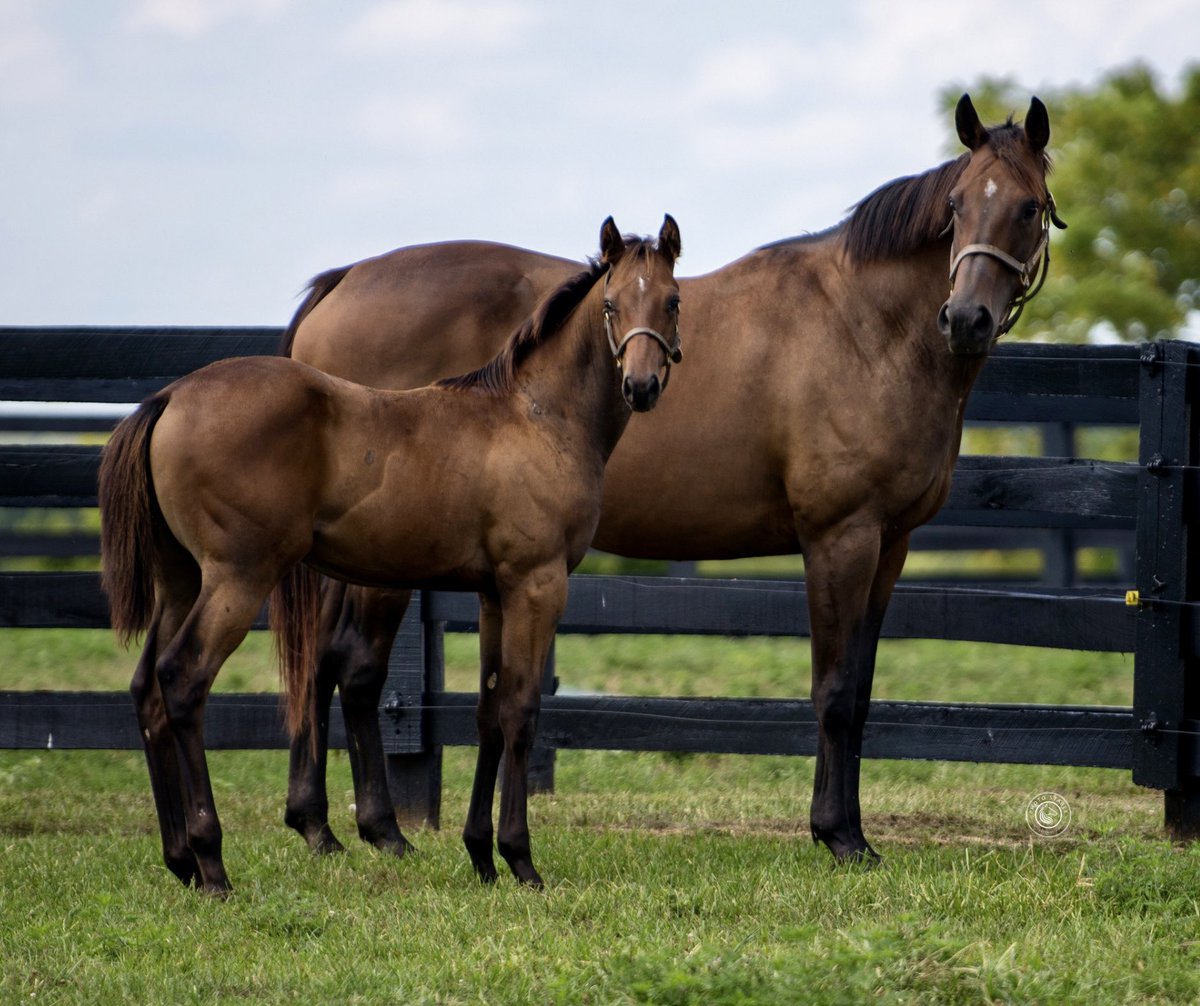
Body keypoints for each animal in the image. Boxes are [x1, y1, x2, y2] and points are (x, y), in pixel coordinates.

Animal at [98, 215, 684, 893]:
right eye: (612, 304)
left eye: (671, 300)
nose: (641, 386)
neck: (534, 415)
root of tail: (170, 397)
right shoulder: (537, 585)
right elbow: (521, 710)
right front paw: (520, 859)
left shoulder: (494, 592)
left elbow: (487, 712)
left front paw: (481, 855)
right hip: (236, 580)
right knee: (183, 679)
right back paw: (212, 861)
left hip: (182, 580)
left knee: (147, 689)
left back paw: (180, 861)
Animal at [281, 94, 1065, 865]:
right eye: (956, 206)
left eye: (1028, 206)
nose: (965, 318)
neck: (865, 327)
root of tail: (344, 281)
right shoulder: (840, 538)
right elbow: (835, 691)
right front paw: (837, 834)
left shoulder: (891, 544)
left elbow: (864, 691)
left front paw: (854, 832)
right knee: (355, 667)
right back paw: (369, 829)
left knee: (325, 665)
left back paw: (332, 825)